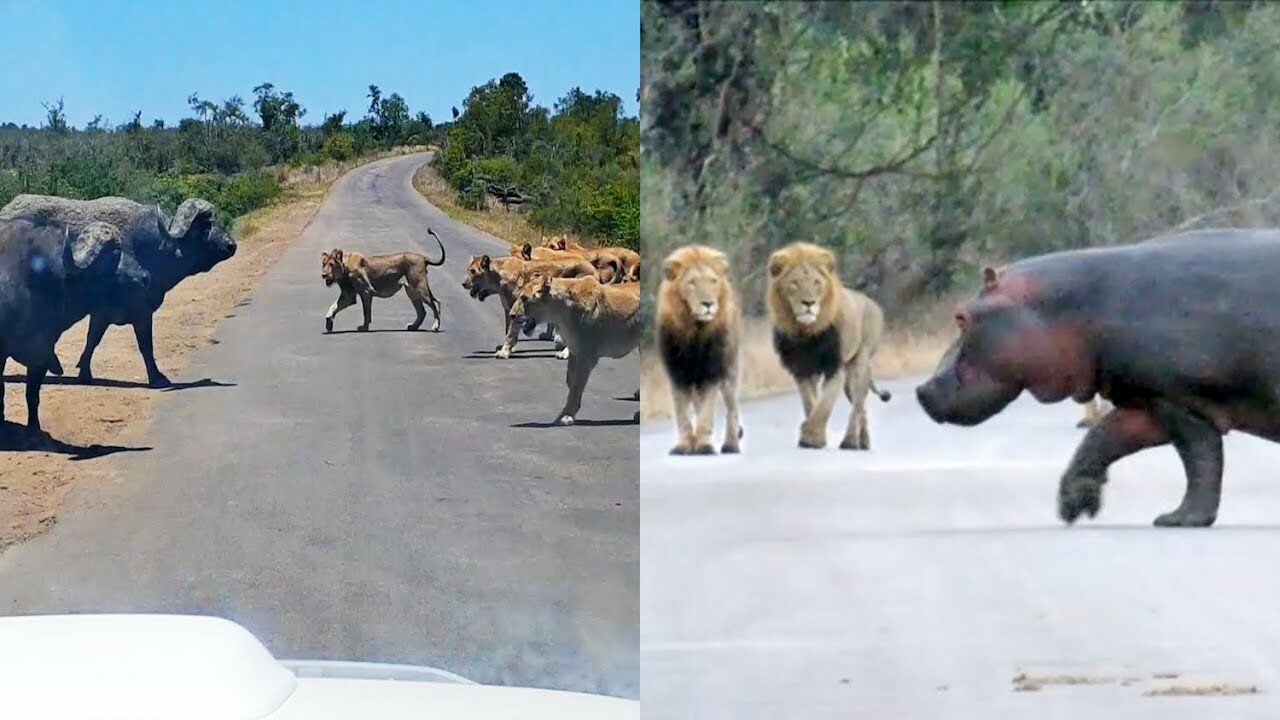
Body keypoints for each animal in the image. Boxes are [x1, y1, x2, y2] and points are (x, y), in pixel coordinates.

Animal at [504, 271, 634, 422]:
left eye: (524, 298)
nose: (512, 315)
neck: (560, 312)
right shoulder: (575, 351)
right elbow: (571, 380)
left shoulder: (587, 356)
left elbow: (577, 385)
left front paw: (566, 415)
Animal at [655, 243, 747, 450]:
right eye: (691, 283)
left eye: (713, 281)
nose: (708, 304)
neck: (694, 330)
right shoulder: (678, 372)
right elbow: (682, 410)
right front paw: (684, 445)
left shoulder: (710, 371)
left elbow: (707, 409)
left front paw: (704, 445)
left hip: (729, 369)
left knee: (732, 407)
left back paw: (731, 443)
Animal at [768, 239, 890, 448]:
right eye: (794, 283)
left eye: (817, 283)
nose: (808, 303)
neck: (806, 332)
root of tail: (874, 304)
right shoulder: (801, 370)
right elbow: (811, 403)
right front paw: (813, 435)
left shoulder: (835, 366)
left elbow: (824, 404)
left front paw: (812, 437)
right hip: (848, 381)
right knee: (861, 408)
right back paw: (864, 442)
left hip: (861, 362)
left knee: (857, 405)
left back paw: (850, 441)